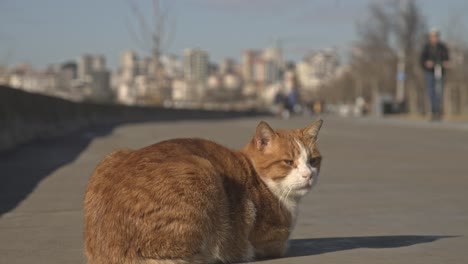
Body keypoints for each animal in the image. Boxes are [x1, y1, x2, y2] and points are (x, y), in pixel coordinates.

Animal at [84, 119, 324, 264]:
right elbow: (279, 244)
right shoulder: (272, 241)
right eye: (288, 162)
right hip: (202, 169)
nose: (308, 175)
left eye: (313, 161)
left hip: (112, 156)